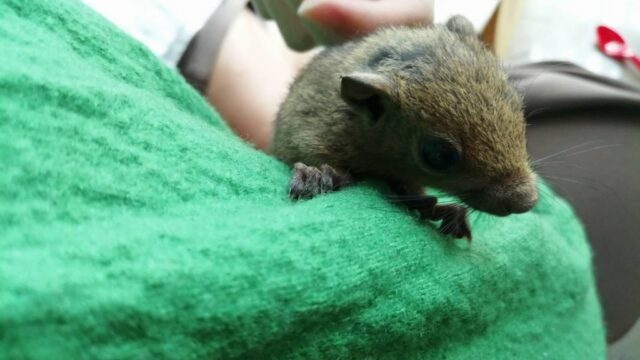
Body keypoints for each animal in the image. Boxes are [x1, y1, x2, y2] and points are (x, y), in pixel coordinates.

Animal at [268, 15, 536, 240]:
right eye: (438, 154)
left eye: (516, 103)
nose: (526, 201)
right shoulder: (311, 134)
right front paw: (315, 174)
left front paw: (444, 212)